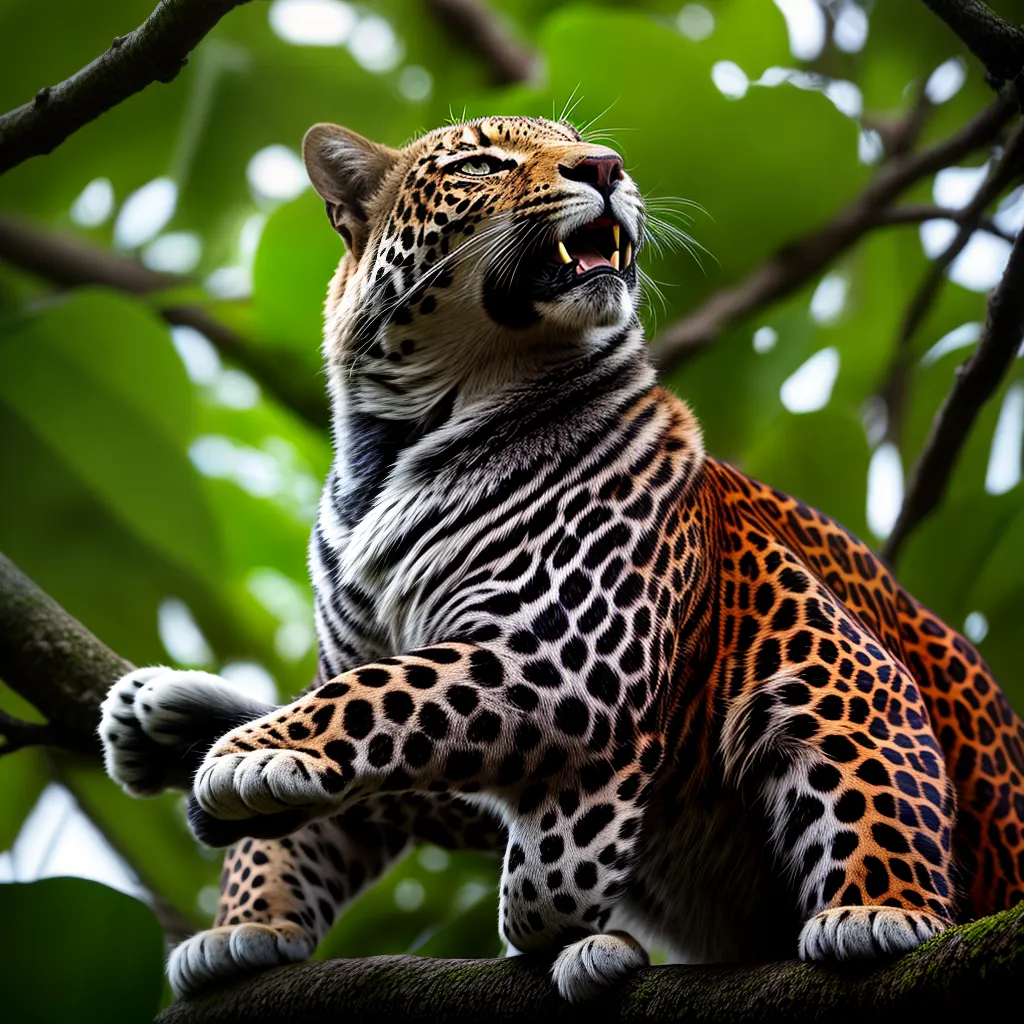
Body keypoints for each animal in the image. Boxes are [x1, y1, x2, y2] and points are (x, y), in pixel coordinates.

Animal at [98, 115, 1024, 1003]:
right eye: (480, 163)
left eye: (582, 146)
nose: (606, 168)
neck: (395, 444)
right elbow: (348, 759)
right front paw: (246, 918)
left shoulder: (567, 655)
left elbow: (385, 696)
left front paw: (252, 753)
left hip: (822, 650)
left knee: (869, 758)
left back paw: (875, 916)